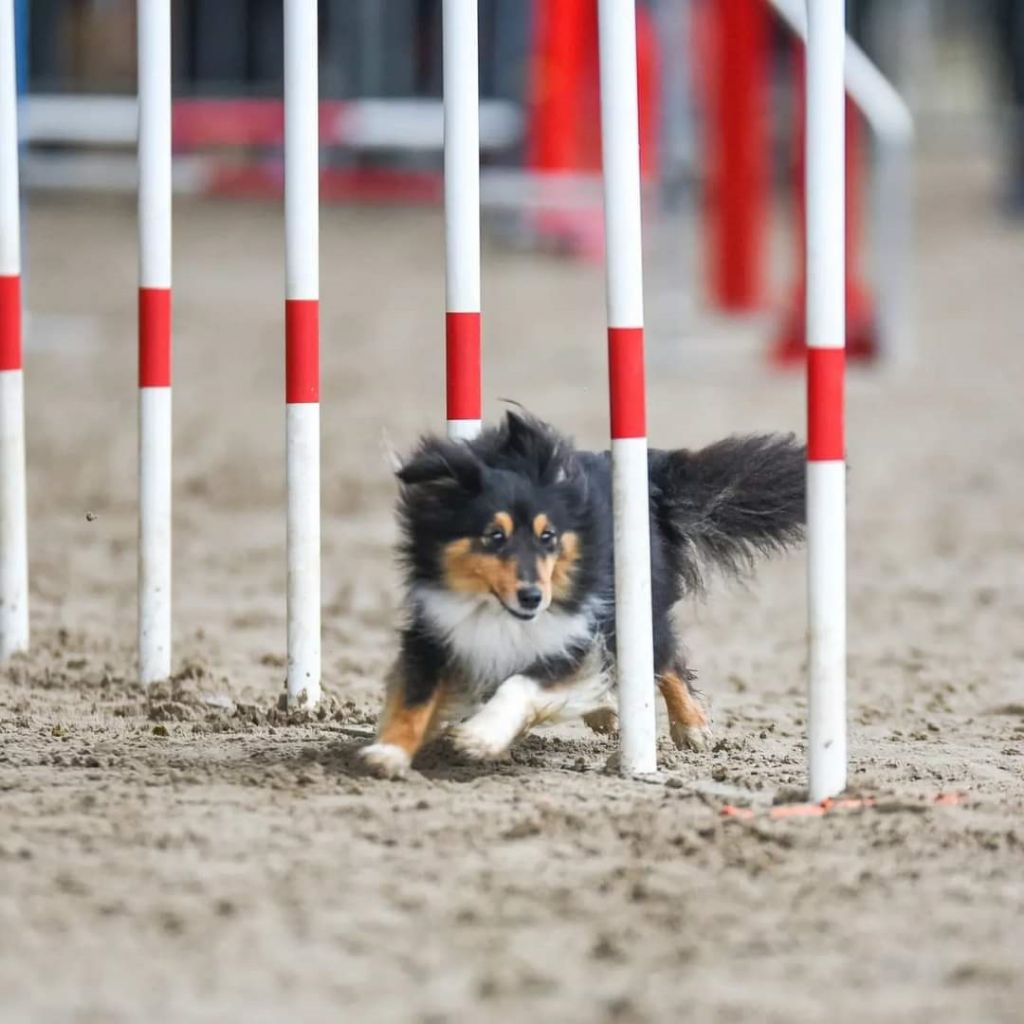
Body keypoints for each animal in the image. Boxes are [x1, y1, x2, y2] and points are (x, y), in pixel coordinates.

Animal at [362, 407, 806, 774]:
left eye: (549, 537)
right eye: (493, 536)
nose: (533, 597)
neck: (498, 611)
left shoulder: (569, 637)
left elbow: (520, 686)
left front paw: (480, 736)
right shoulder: (435, 631)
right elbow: (415, 695)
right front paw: (388, 752)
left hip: (638, 600)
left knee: (665, 659)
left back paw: (691, 727)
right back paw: (606, 713)